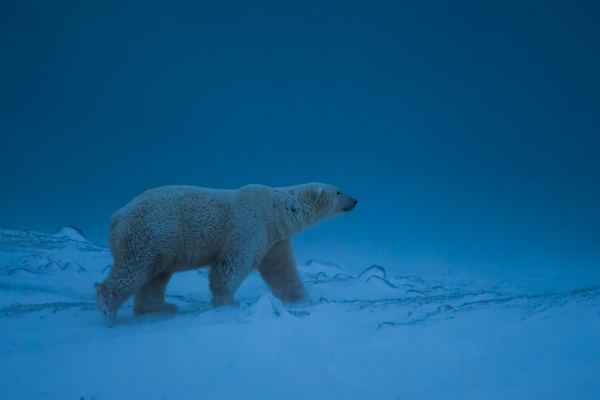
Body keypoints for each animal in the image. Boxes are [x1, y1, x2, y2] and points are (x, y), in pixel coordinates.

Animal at [94, 183, 356, 324]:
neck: (276, 210)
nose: (354, 200)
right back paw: (108, 309)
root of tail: (116, 216)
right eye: (338, 191)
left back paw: (161, 307)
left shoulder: (275, 240)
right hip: (150, 232)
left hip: (162, 243)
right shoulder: (250, 225)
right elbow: (231, 265)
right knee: (135, 269)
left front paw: (302, 299)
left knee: (156, 276)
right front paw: (228, 302)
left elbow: (282, 273)